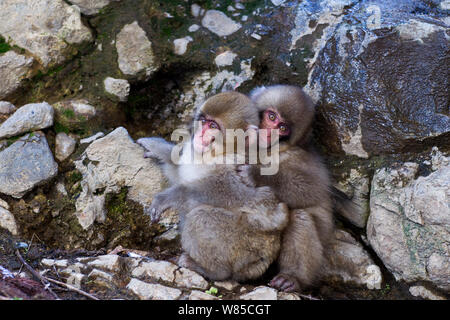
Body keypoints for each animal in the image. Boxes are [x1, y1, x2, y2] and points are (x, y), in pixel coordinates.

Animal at [136, 91, 288, 282]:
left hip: (246, 247)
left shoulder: (235, 168)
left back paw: (212, 271)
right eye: (204, 120)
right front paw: (161, 150)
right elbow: (180, 173)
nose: (200, 135)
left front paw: (167, 197)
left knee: (200, 217)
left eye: (213, 125)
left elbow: (233, 194)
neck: (218, 154)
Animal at [248, 85, 336, 292]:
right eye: (272, 117)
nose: (268, 133)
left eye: (282, 128)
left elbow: (310, 189)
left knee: (299, 216)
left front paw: (256, 174)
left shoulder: (297, 157)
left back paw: (292, 278)